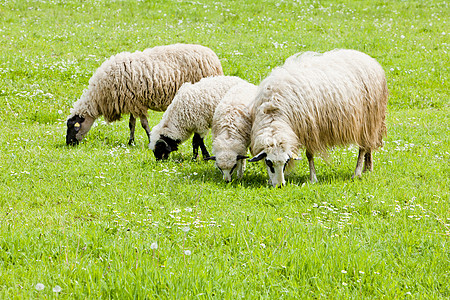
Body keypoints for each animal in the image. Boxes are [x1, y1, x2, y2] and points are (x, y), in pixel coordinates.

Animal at [65, 44, 223, 146]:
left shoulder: (138, 104)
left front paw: (148, 139)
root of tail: (212, 55)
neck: (99, 95)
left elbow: (144, 124)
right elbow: (131, 124)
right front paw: (131, 141)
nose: (69, 144)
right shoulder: (131, 102)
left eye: (74, 127)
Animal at [248, 48, 388, 185]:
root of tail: (369, 59)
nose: (279, 185)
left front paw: (313, 179)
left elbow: (309, 155)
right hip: (371, 123)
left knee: (362, 148)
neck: (274, 112)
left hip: (366, 120)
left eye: (286, 162)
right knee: (369, 145)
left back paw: (357, 173)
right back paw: (367, 169)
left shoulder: (310, 130)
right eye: (268, 162)